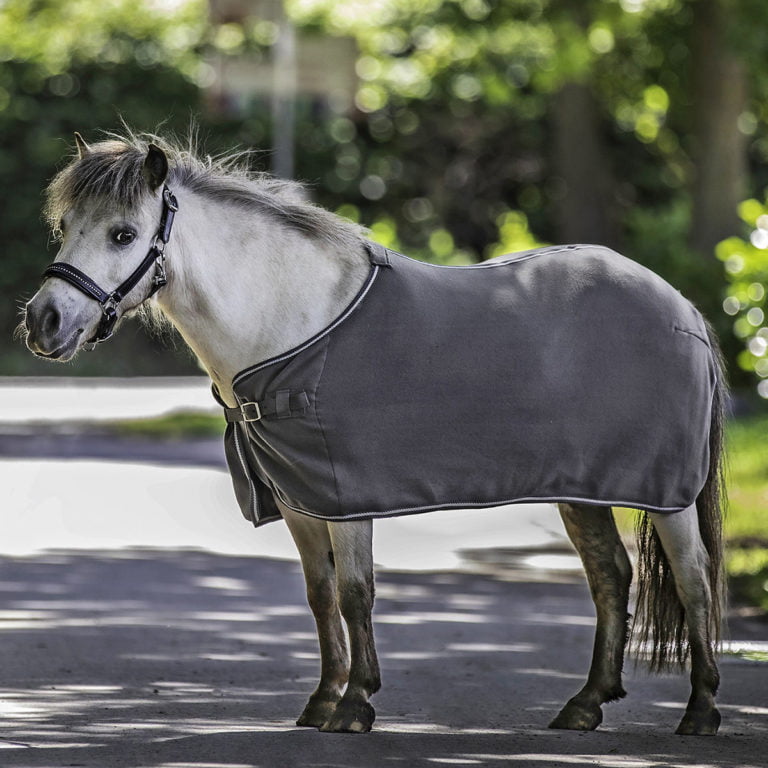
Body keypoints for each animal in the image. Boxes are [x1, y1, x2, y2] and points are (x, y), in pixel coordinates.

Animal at [21, 135, 724, 736]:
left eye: (123, 233)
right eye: (66, 226)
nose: (43, 322)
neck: (291, 322)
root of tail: (682, 307)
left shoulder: (344, 494)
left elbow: (356, 593)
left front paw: (356, 704)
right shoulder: (300, 501)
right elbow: (320, 594)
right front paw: (322, 700)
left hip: (667, 493)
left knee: (694, 579)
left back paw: (701, 711)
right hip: (584, 491)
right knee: (611, 576)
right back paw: (585, 705)